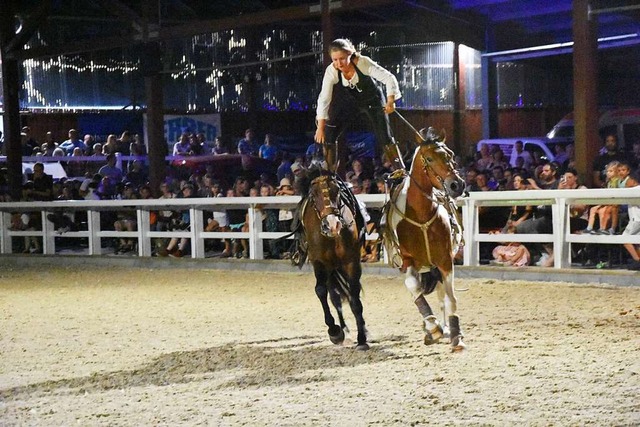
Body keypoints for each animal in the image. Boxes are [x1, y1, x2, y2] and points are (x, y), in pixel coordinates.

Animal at [382, 128, 468, 354]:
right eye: (429, 158)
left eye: (451, 155)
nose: (457, 185)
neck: (421, 217)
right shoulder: (408, 261)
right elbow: (415, 289)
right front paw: (433, 327)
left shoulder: (445, 260)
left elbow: (450, 298)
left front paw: (455, 336)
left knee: (441, 294)